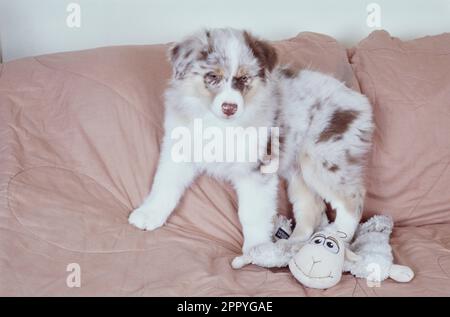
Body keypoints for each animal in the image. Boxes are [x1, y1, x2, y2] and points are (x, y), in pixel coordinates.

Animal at [128, 27, 280, 252]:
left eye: (244, 78)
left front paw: (257, 248)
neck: (217, 125)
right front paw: (150, 213)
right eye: (213, 76)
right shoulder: (179, 151)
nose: (229, 108)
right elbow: (164, 184)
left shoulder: (256, 168)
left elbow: (252, 213)